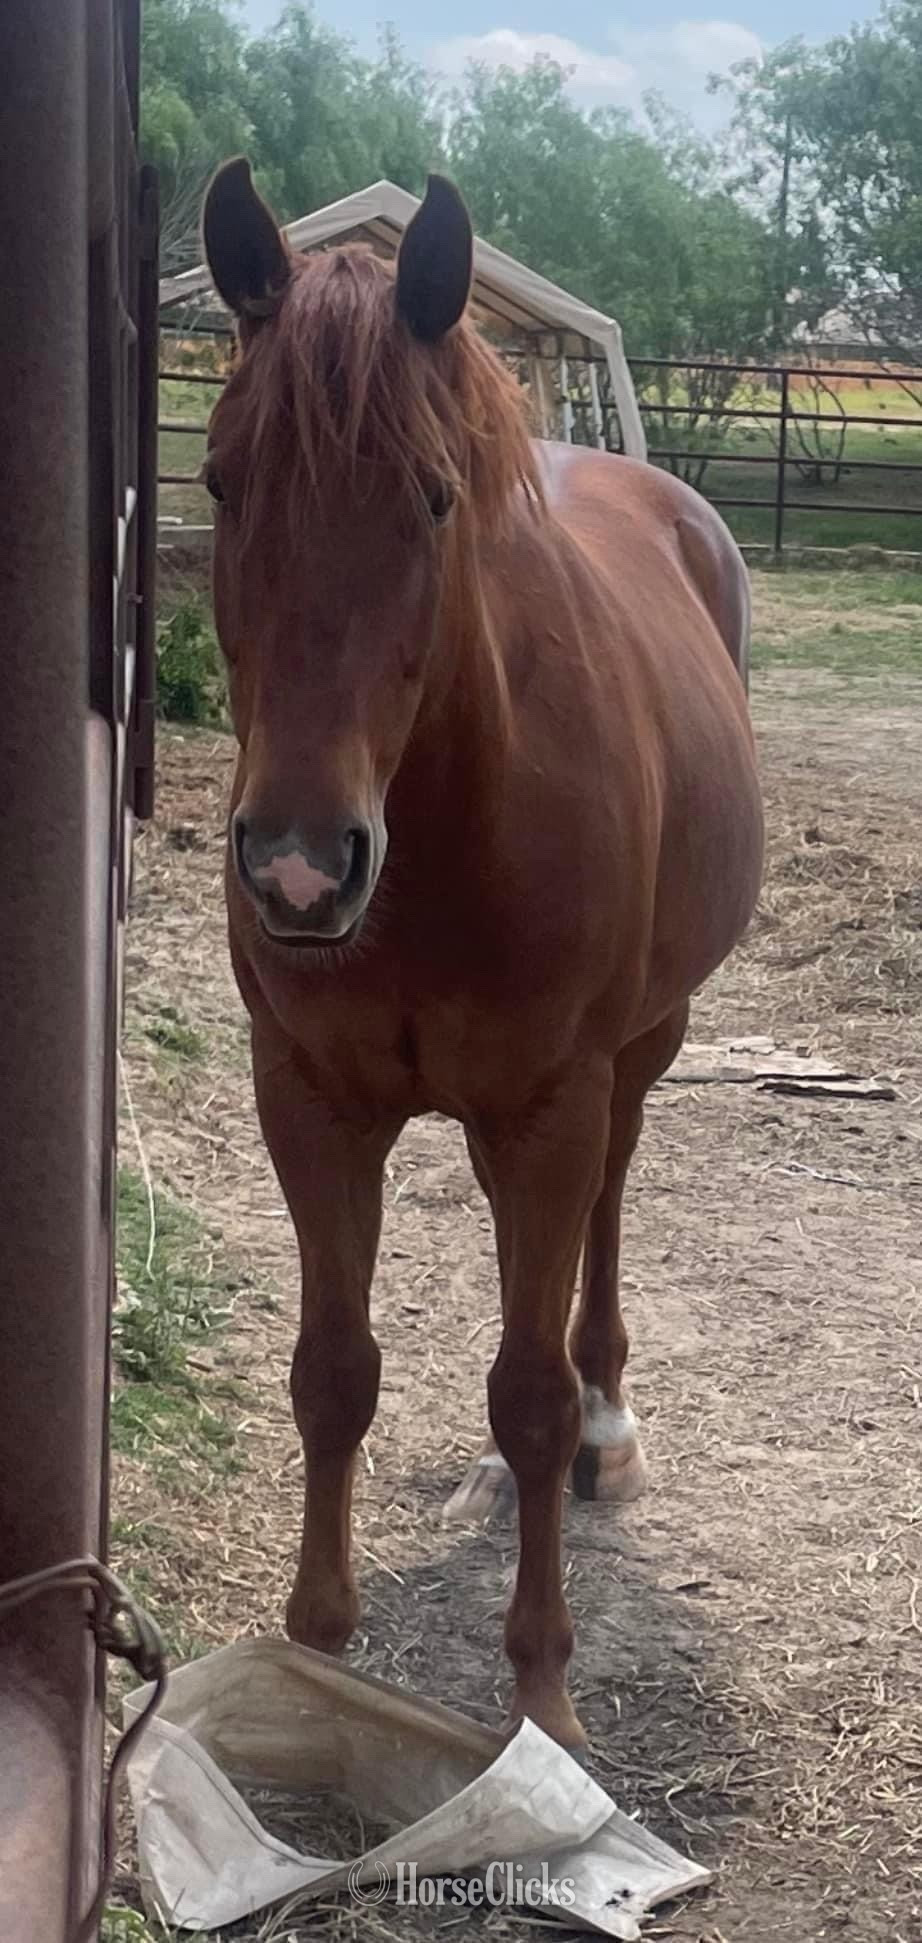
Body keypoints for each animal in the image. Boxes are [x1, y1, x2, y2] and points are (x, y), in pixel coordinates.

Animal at [201, 160, 764, 1753]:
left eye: (432, 495)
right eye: (220, 481)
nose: (298, 865)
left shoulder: (546, 1105)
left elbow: (524, 1389)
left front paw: (543, 1697)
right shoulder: (309, 1100)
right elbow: (332, 1371)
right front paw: (317, 1644)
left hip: (635, 1052)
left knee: (610, 1205)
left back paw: (604, 1423)